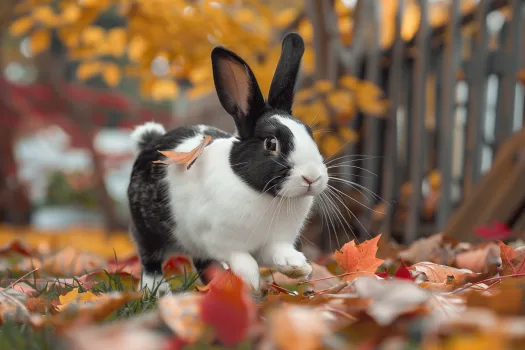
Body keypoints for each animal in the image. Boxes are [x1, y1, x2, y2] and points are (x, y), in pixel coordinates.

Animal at [127, 32, 328, 296]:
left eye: (310, 134)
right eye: (271, 143)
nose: (312, 177)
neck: (263, 194)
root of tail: (151, 141)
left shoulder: (273, 242)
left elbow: (278, 253)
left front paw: (298, 267)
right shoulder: (218, 241)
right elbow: (246, 262)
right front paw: (250, 285)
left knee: (201, 264)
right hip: (148, 229)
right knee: (150, 260)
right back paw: (157, 290)